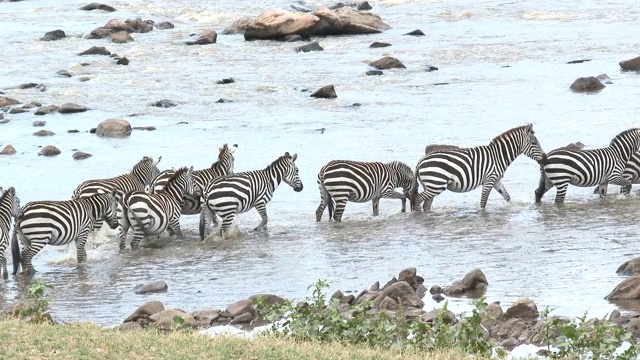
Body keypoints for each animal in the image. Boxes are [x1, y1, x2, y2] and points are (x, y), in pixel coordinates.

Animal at [410, 125, 544, 212]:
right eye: (534, 143)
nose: (544, 158)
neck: (498, 155)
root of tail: (421, 160)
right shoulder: (489, 180)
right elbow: (483, 202)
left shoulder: (496, 180)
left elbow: (507, 197)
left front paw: (511, 207)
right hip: (436, 185)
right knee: (417, 199)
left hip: (431, 186)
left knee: (426, 204)